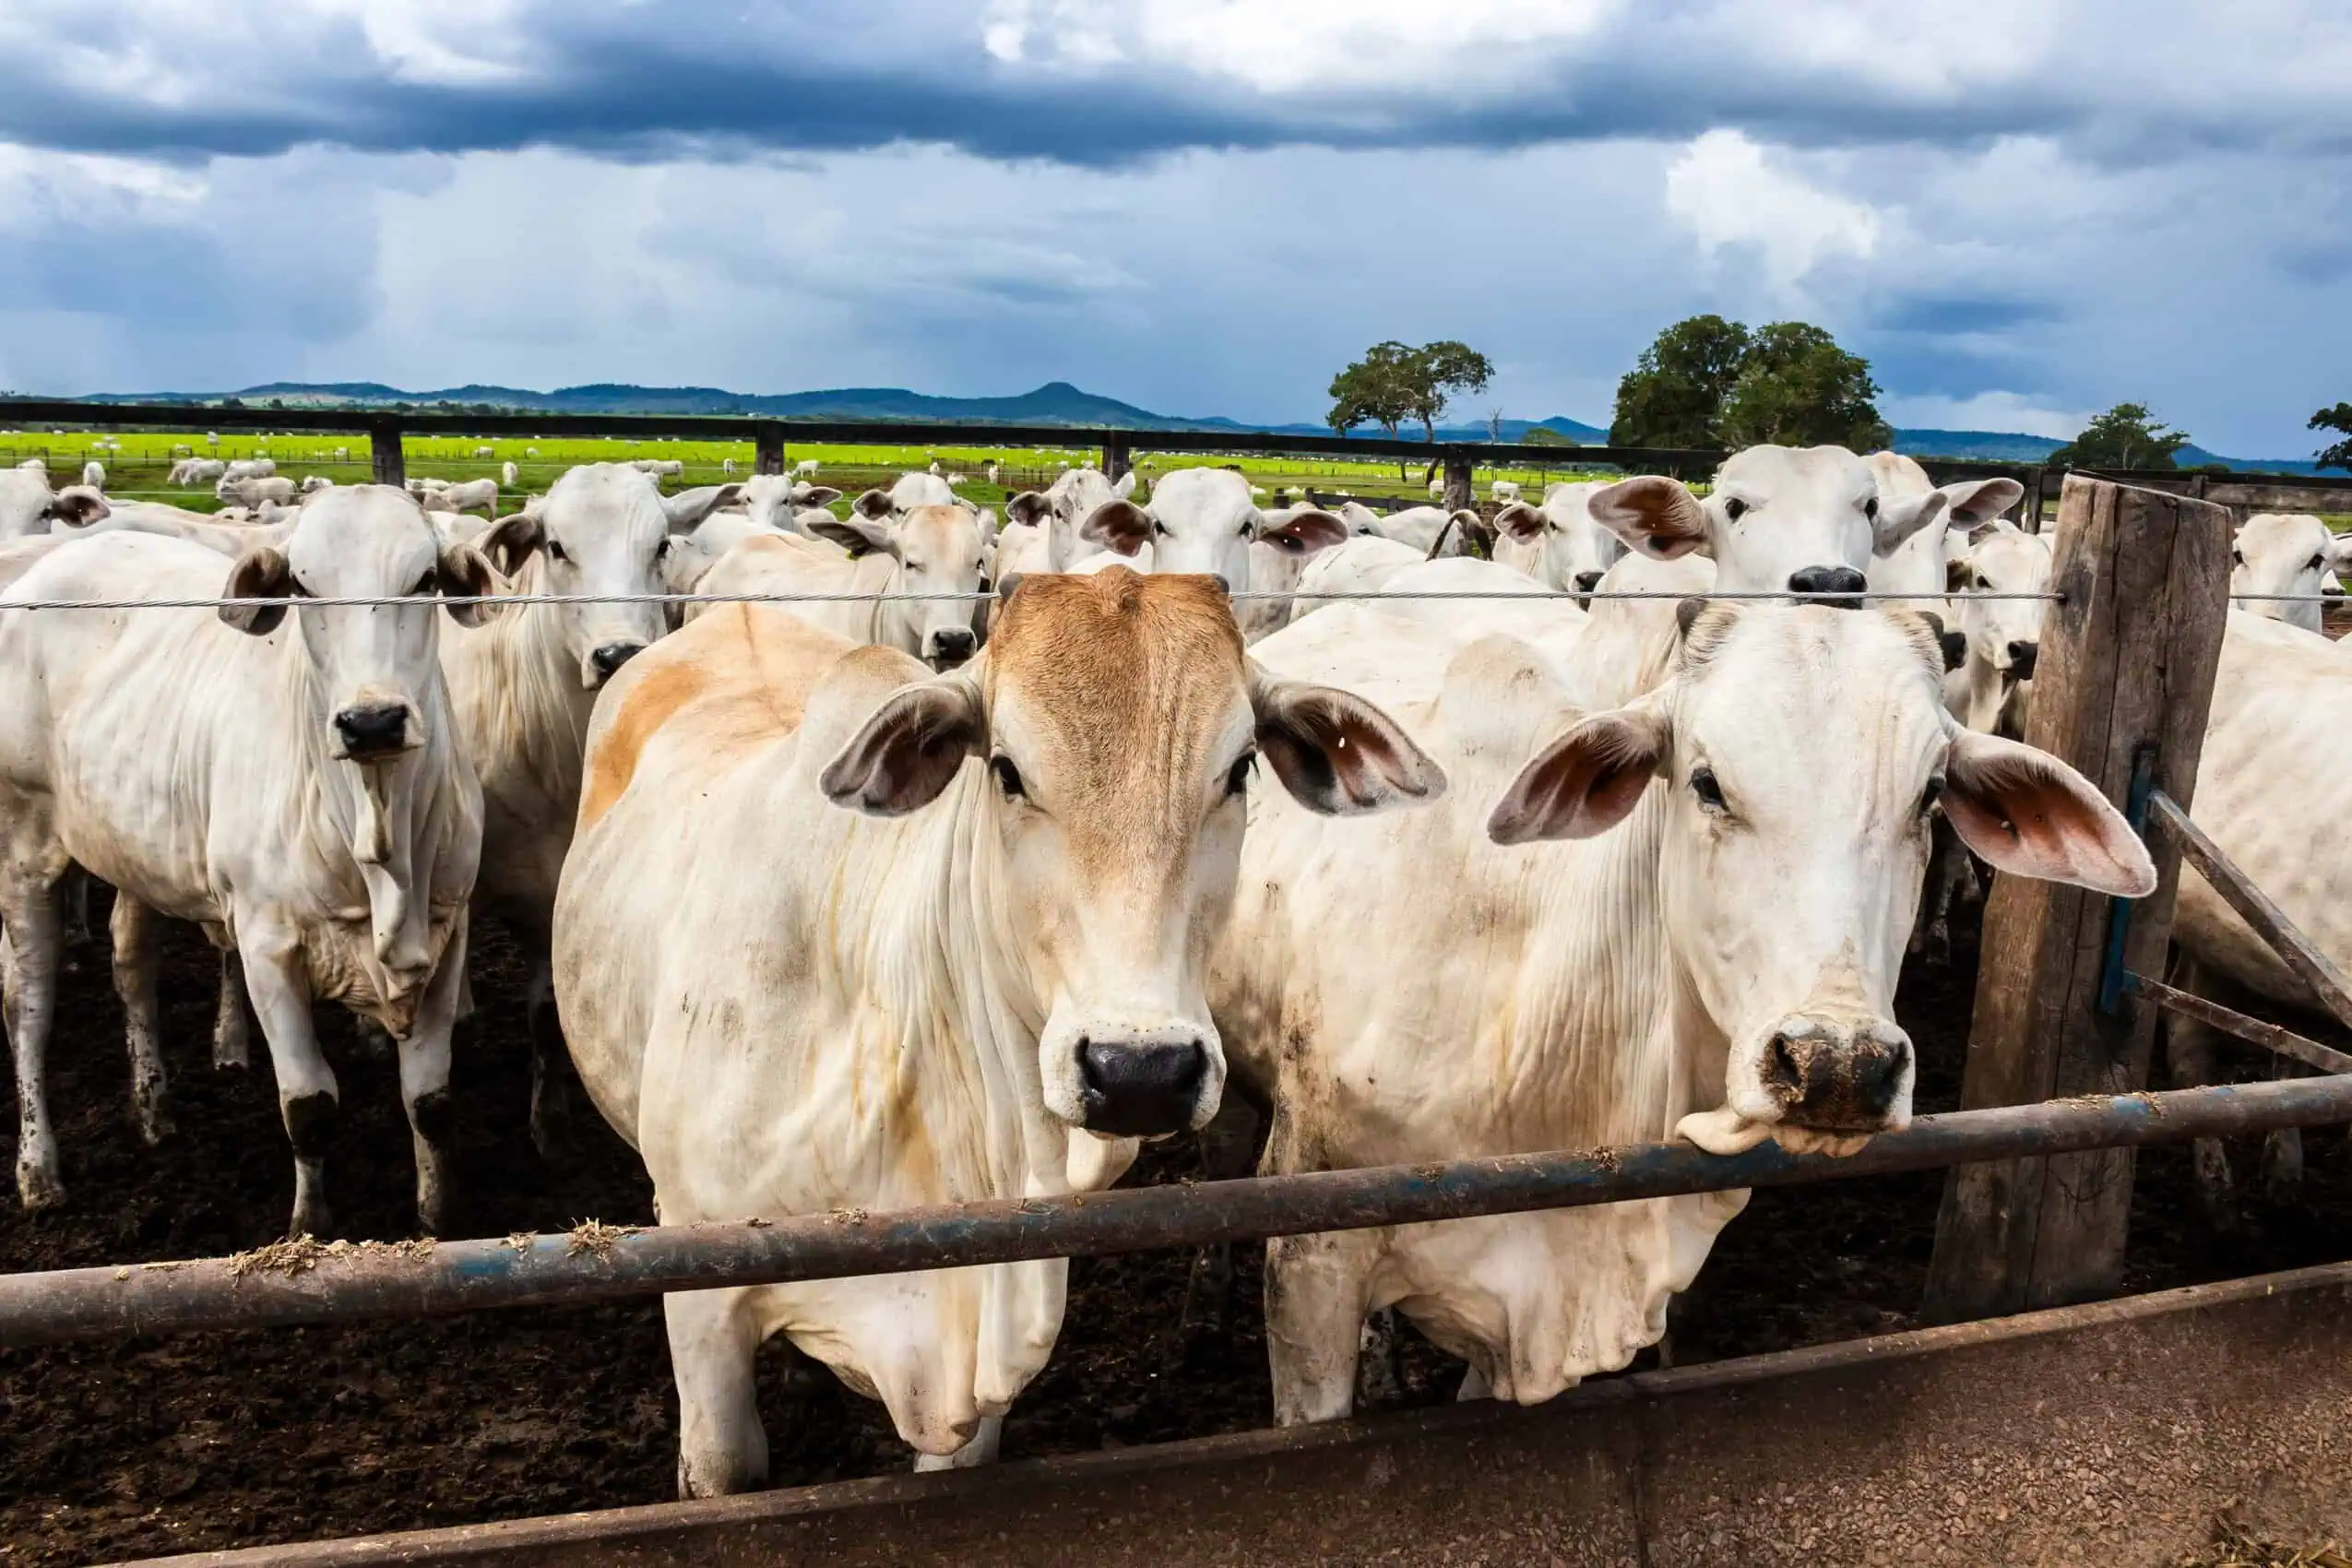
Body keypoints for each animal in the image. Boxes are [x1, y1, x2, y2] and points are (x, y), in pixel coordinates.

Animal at [0, 486, 494, 1234]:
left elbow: (429, 1102)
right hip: (22, 843)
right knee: (27, 1000)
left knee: (131, 962)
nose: (372, 722)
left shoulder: (447, 933)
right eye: (303, 587)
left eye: (426, 579)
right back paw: (39, 1170)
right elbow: (308, 1107)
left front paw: (439, 1221)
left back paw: (155, 1110)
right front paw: (309, 1229)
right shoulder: (267, 949)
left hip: (136, 855)